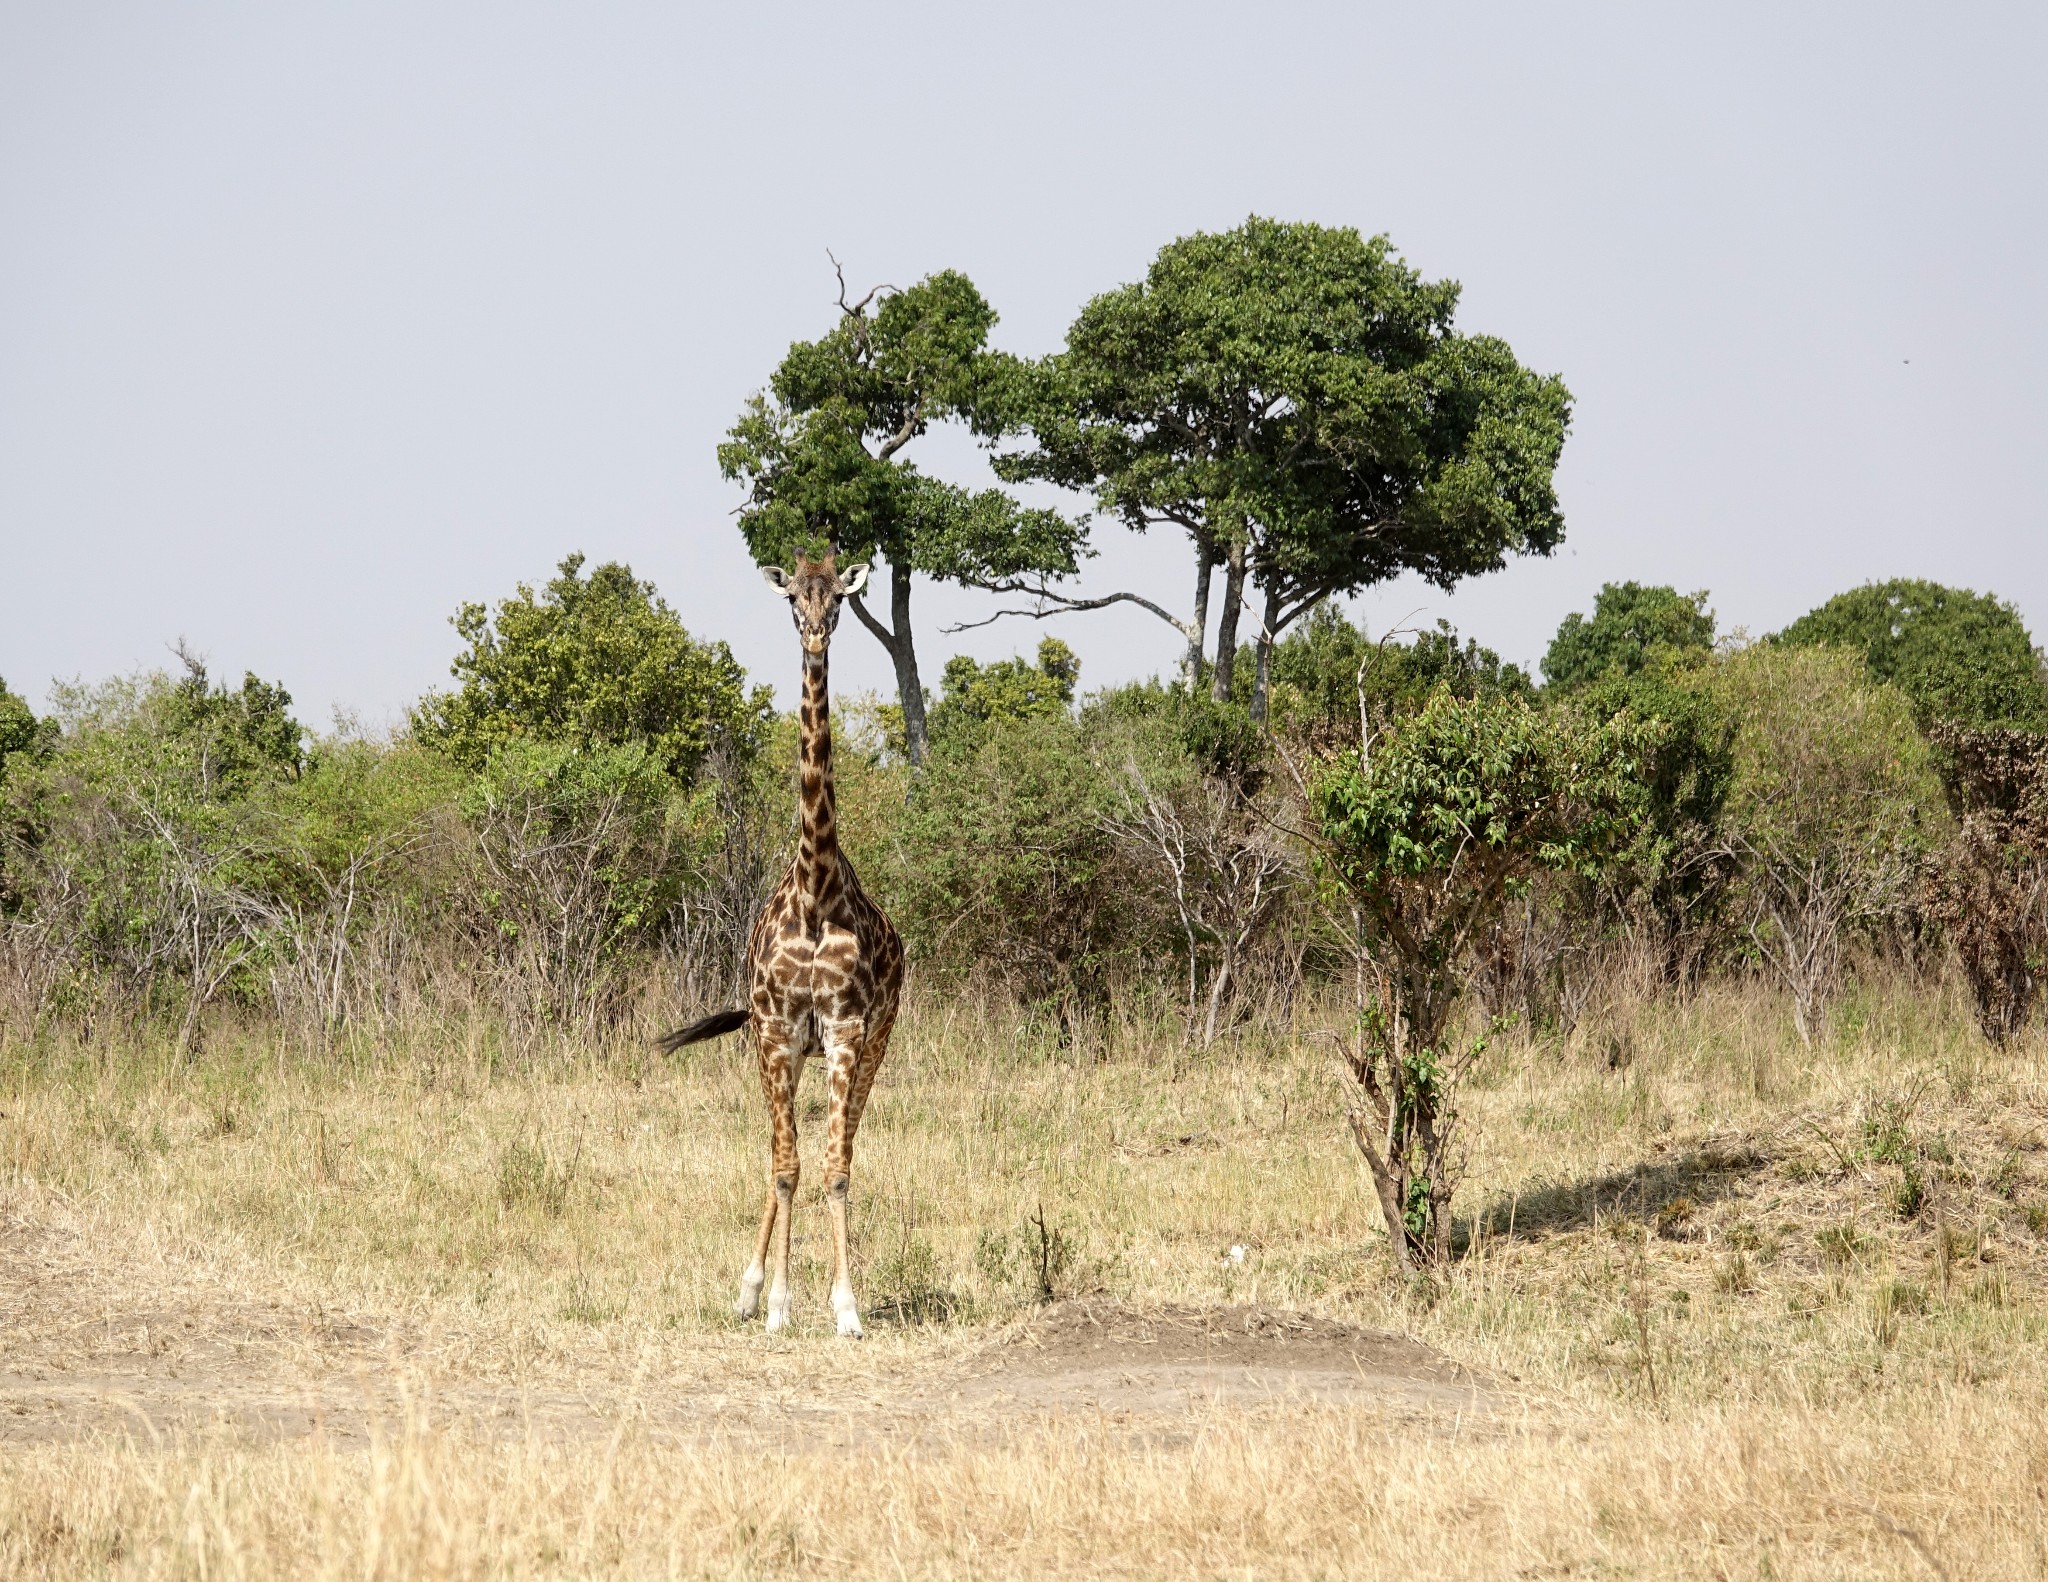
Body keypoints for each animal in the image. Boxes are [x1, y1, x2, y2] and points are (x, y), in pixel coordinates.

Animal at [663, 553, 905, 1336]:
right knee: (777, 1155)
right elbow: (786, 1168)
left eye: (839, 600)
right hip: (781, 1047)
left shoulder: (848, 1029)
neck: (815, 889)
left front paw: (844, 1306)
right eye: (794, 598)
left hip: (871, 1044)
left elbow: (834, 1169)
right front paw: (773, 1302)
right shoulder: (774, 1030)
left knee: (842, 1146)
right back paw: (747, 1289)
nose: (815, 635)